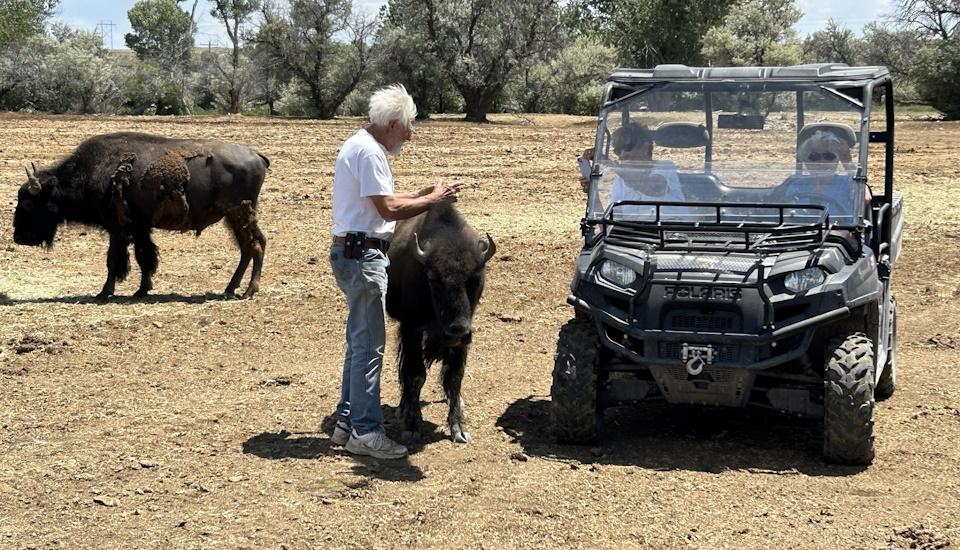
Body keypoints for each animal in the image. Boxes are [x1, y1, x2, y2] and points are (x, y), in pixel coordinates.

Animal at [388, 203, 498, 444]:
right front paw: (412, 426)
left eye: (474, 277)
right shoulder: (411, 329)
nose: (456, 330)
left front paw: (459, 428)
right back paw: (403, 408)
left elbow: (455, 377)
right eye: (432, 279)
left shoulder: (464, 339)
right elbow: (415, 374)